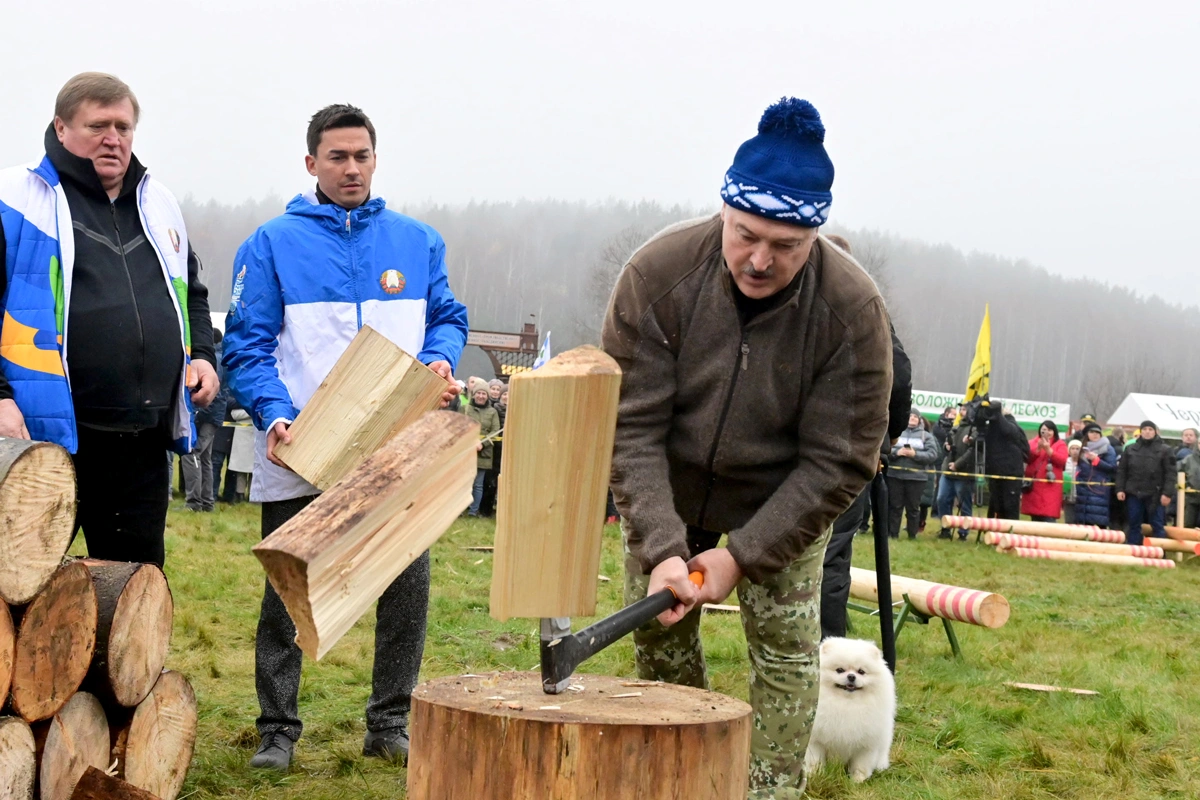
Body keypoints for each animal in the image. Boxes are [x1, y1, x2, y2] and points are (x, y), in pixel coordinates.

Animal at [801, 638, 897, 782]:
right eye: (839, 670)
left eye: (861, 671)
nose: (851, 676)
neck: (847, 704)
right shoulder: (816, 742)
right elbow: (815, 760)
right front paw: (815, 774)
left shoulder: (866, 746)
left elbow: (860, 765)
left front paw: (857, 779)